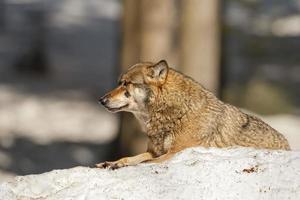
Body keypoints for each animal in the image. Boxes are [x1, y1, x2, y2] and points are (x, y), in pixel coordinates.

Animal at [96, 59, 288, 169]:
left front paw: (118, 166)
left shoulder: (173, 153)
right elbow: (129, 158)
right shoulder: (154, 152)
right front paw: (112, 163)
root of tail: (288, 145)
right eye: (119, 83)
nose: (101, 100)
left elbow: (142, 164)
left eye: (126, 84)